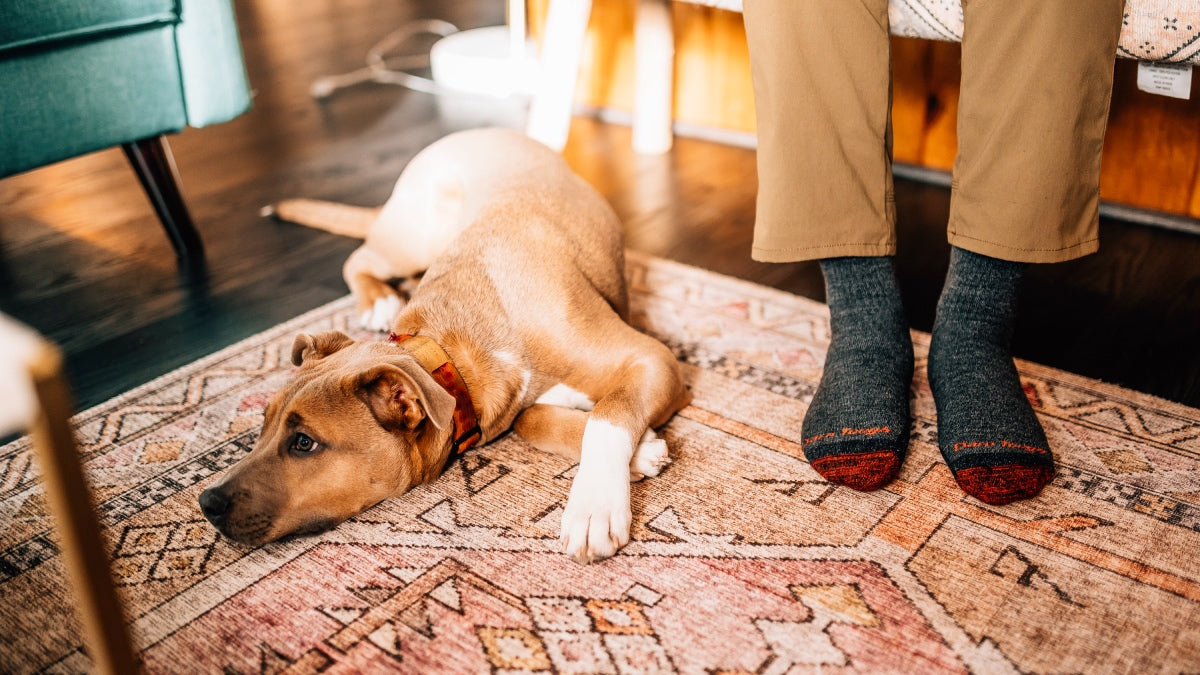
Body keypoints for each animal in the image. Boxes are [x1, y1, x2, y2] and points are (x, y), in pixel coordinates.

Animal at [200, 128, 691, 559]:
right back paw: (379, 299)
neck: (455, 350)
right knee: (360, 257)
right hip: (414, 236)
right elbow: (536, 419)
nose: (207, 501)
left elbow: (606, 415)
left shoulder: (654, 358)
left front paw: (595, 505)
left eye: (304, 443)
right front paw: (641, 452)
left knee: (358, 255)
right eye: (262, 424)